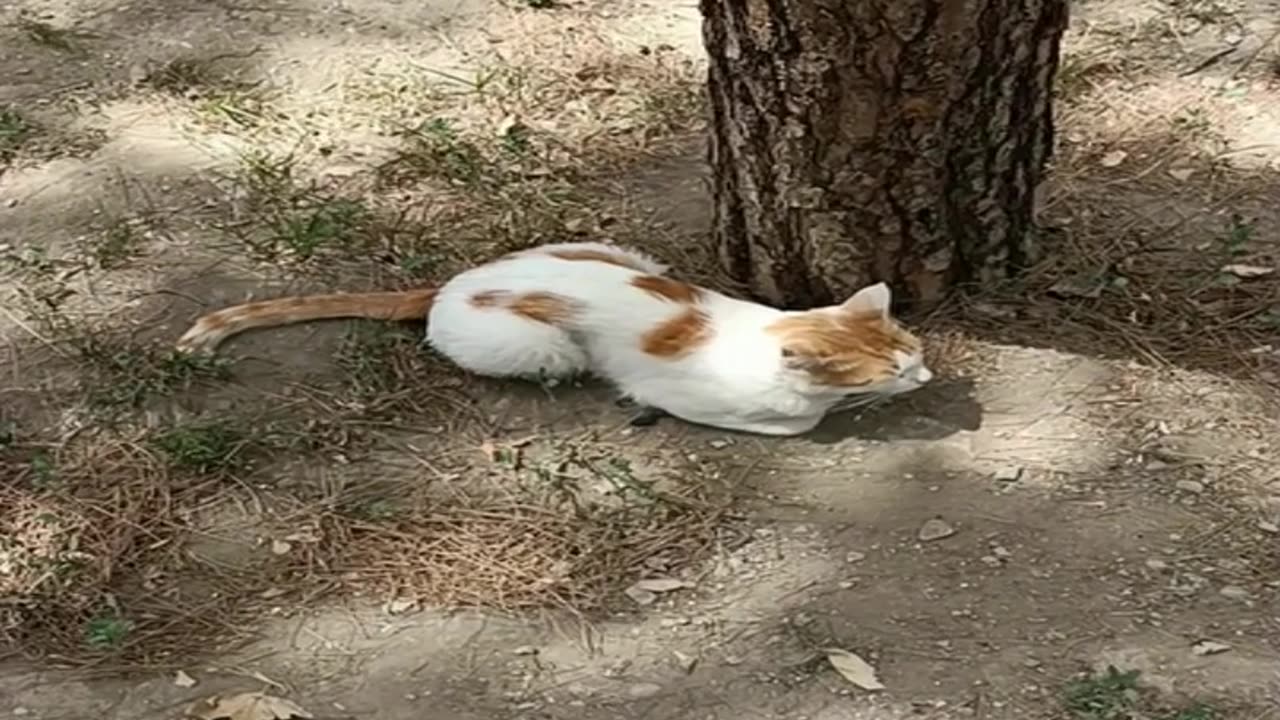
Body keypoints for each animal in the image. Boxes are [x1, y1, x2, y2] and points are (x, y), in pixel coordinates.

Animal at [177, 240, 931, 435]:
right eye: (894, 372)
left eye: (916, 356)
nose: (924, 379)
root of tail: (445, 286)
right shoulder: (694, 397)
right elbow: (800, 423)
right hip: (548, 348)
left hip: (615, 251)